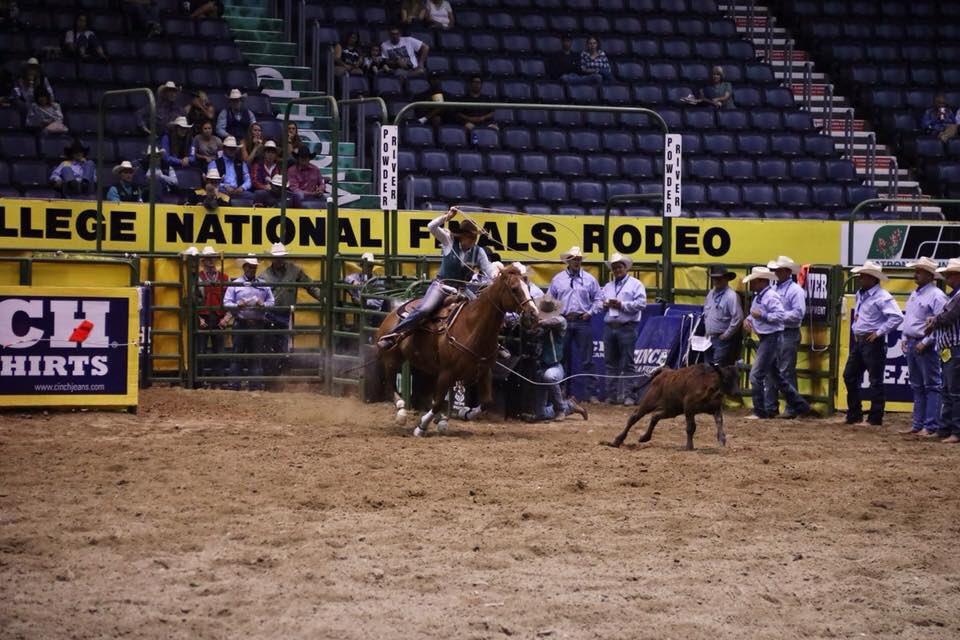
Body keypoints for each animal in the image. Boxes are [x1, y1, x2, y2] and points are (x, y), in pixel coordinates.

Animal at [376, 264, 540, 436]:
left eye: (528, 287)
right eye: (514, 289)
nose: (533, 315)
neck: (472, 327)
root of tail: (394, 311)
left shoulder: (484, 371)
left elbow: (486, 401)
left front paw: (465, 412)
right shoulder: (447, 373)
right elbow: (438, 402)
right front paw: (421, 426)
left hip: (426, 369)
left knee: (424, 392)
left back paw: (439, 419)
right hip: (392, 358)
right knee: (391, 384)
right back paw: (402, 411)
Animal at [612, 362, 740, 452]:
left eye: (738, 378)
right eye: (726, 378)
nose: (737, 392)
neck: (708, 386)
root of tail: (665, 371)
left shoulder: (715, 408)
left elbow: (719, 421)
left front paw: (722, 440)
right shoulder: (689, 409)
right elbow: (691, 427)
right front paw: (689, 446)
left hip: (672, 409)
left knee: (655, 416)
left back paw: (644, 437)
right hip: (648, 403)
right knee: (634, 417)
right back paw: (617, 440)